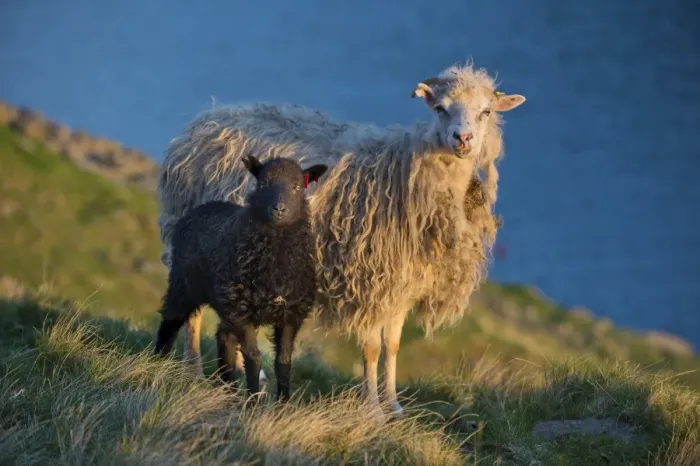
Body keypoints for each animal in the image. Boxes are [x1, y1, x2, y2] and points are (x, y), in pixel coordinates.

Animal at [153, 154, 328, 401]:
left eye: (296, 187)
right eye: (263, 183)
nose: (279, 209)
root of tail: (205, 206)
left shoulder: (290, 314)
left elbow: (283, 361)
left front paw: (283, 403)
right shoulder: (241, 313)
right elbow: (254, 357)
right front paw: (253, 401)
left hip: (228, 304)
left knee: (224, 338)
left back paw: (229, 389)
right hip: (185, 286)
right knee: (170, 321)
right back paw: (156, 363)